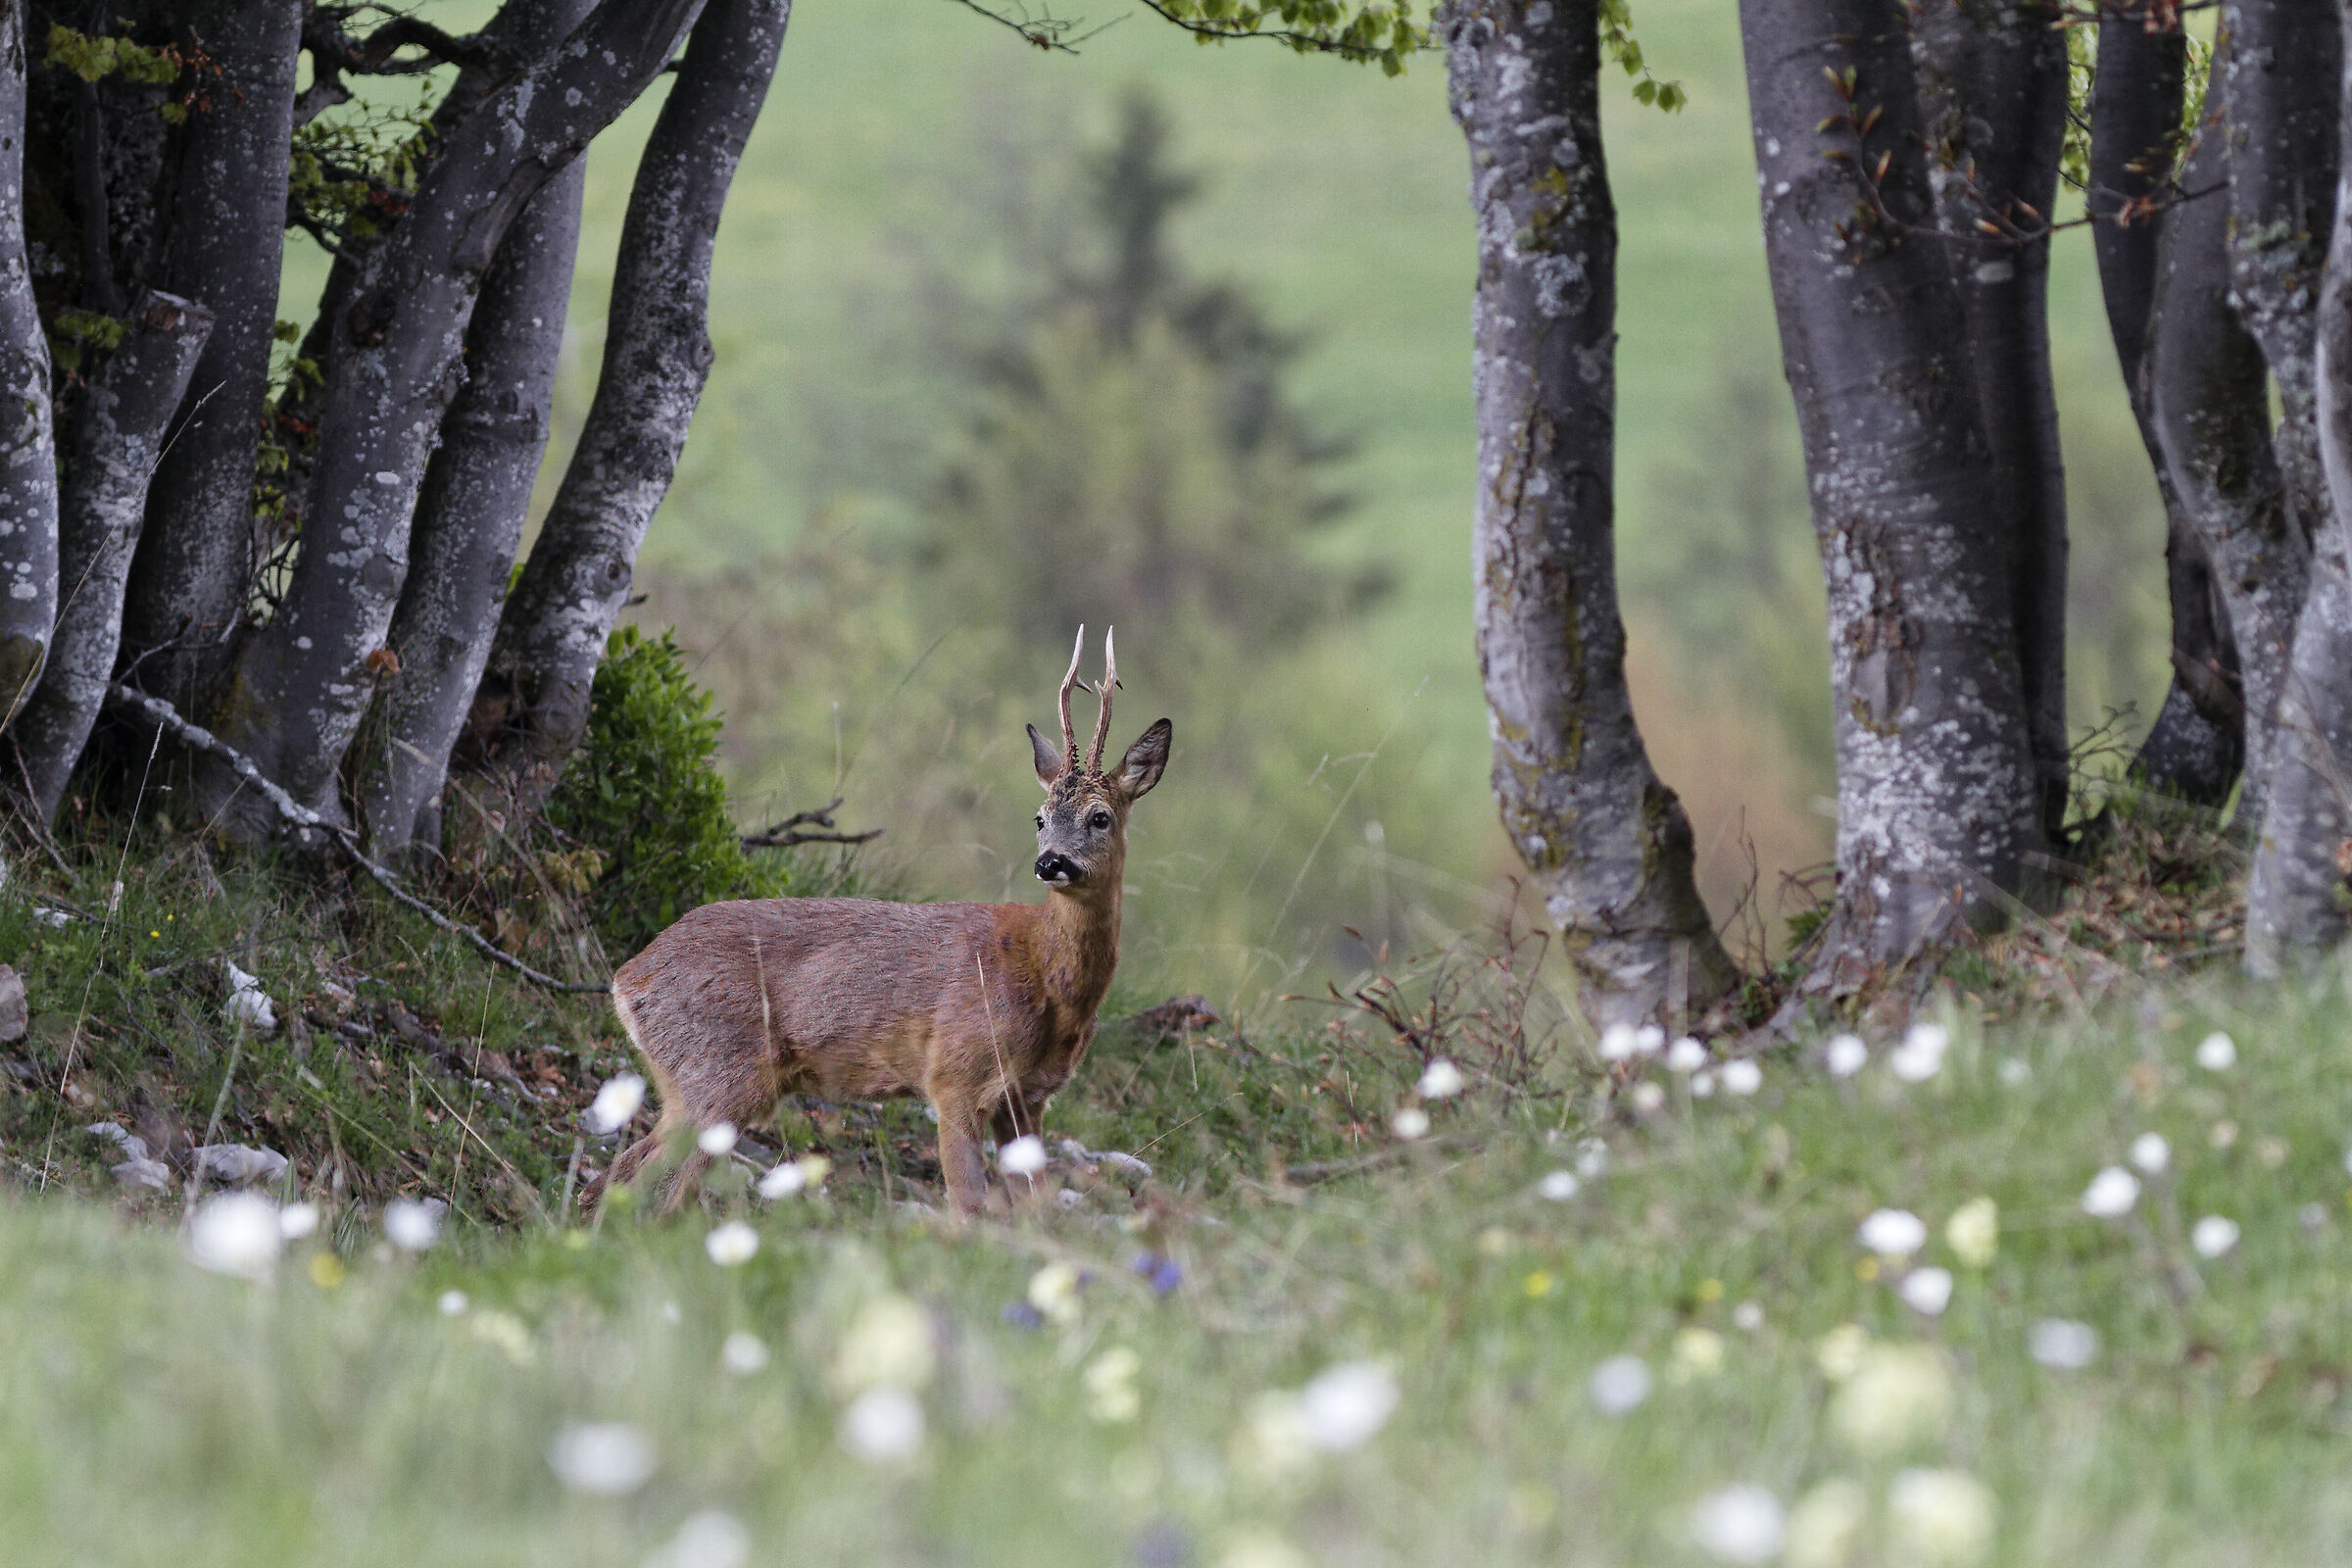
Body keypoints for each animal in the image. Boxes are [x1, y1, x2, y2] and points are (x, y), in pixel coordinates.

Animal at [587, 627, 1170, 1215]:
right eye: (1040, 817)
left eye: (1101, 817)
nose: (1051, 862)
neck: (1045, 979)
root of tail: (627, 979)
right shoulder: (954, 1075)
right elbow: (967, 1207)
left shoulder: (1027, 1098)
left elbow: (1035, 1211)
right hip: (716, 1074)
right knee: (637, 1182)